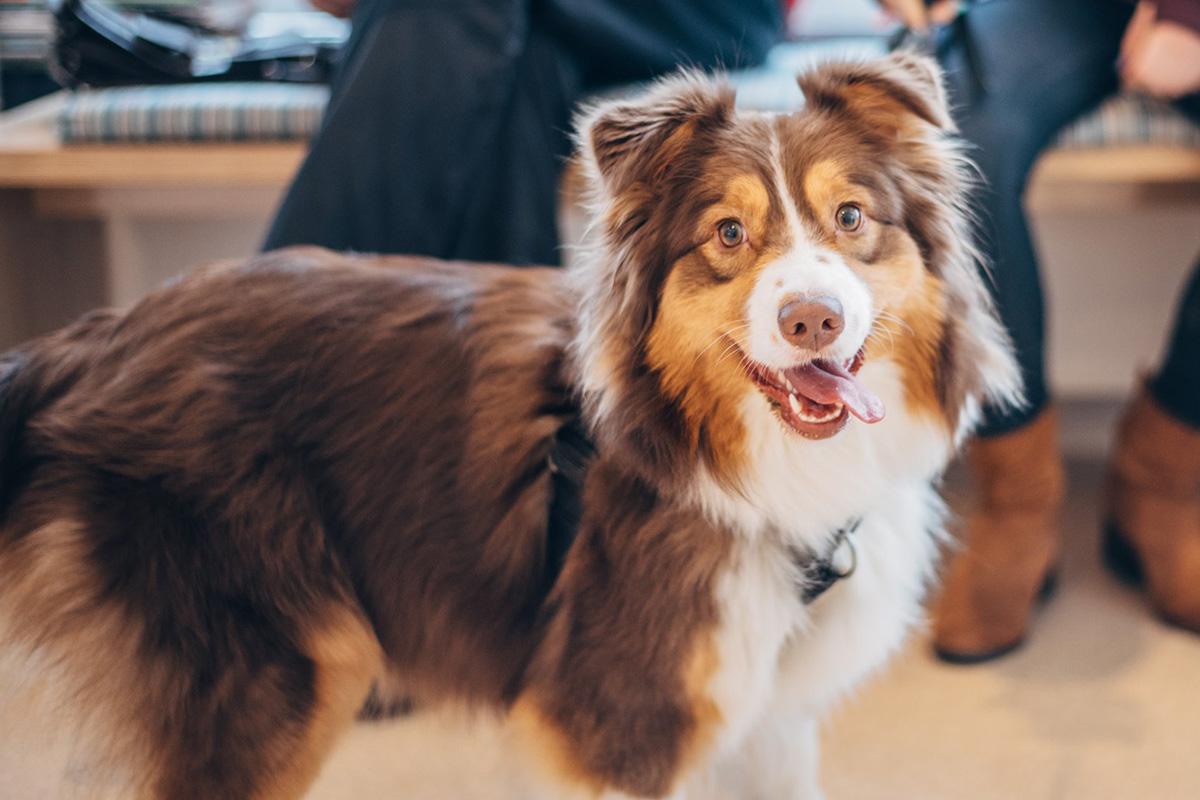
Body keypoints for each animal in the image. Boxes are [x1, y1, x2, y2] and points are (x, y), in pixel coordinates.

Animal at [0, 53, 1017, 796]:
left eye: (851, 217)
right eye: (728, 235)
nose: (814, 321)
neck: (745, 470)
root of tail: (103, 336)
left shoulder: (771, 720)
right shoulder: (620, 717)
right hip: (275, 676)